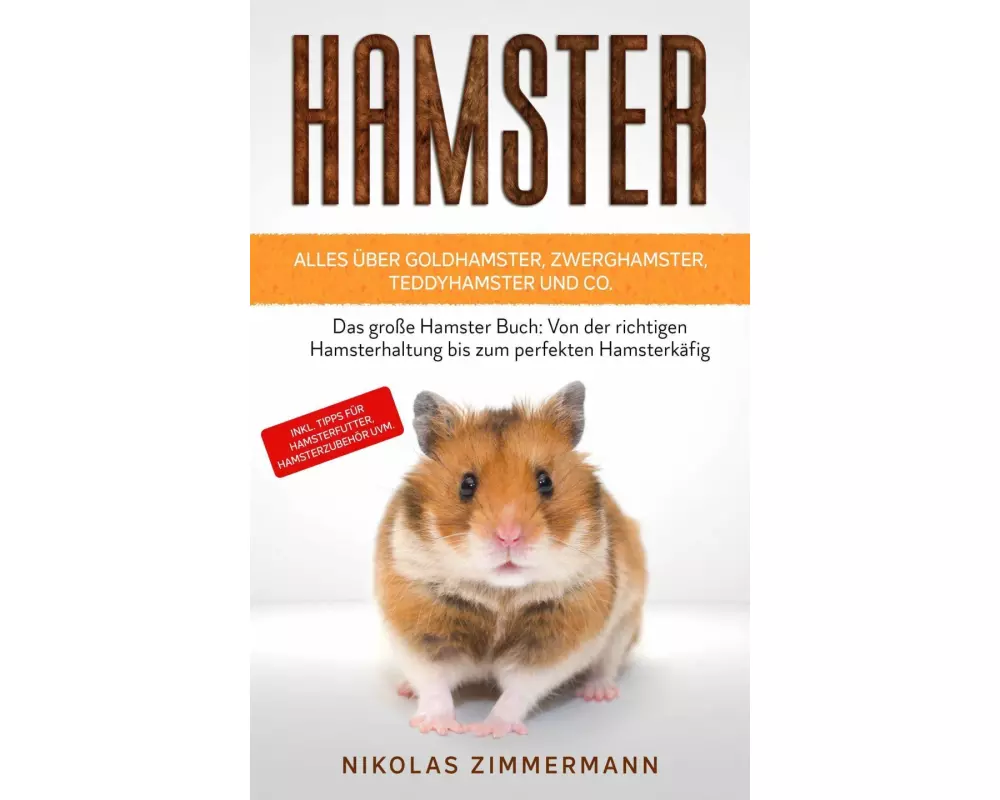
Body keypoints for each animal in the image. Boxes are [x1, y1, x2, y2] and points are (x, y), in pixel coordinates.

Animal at [374, 381, 647, 738]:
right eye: (466, 484)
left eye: (545, 481)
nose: (509, 536)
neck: (499, 593)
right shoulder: (416, 622)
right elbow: (433, 683)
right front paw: (438, 727)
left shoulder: (557, 637)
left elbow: (519, 690)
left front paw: (489, 729)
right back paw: (405, 689)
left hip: (626, 623)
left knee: (607, 664)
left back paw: (598, 693)